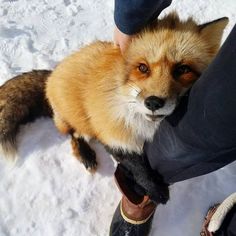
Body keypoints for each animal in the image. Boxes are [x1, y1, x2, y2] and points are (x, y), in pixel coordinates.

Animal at [0, 13, 229, 203]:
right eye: (142, 68)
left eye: (183, 69)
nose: (153, 103)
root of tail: (52, 74)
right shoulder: (112, 131)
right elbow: (135, 164)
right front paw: (152, 188)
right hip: (80, 119)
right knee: (73, 134)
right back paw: (86, 154)